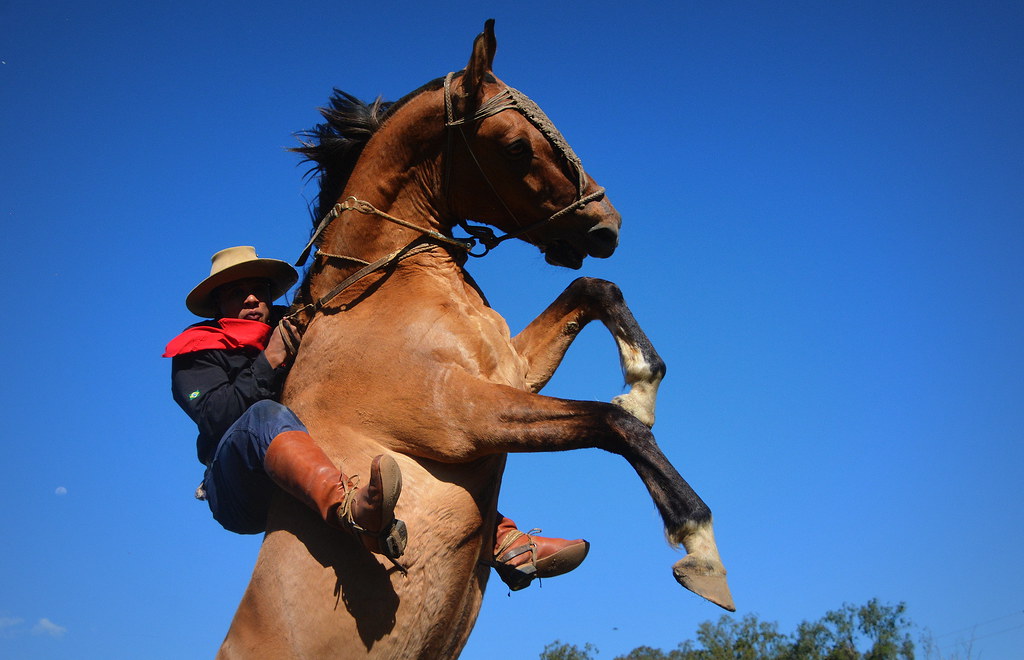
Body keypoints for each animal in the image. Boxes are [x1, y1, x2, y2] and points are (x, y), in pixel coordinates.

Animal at [217, 20, 733, 658]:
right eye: (515, 147)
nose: (606, 227)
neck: (383, 288)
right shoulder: (461, 414)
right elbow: (615, 425)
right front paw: (702, 552)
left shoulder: (513, 372)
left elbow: (594, 290)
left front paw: (641, 383)